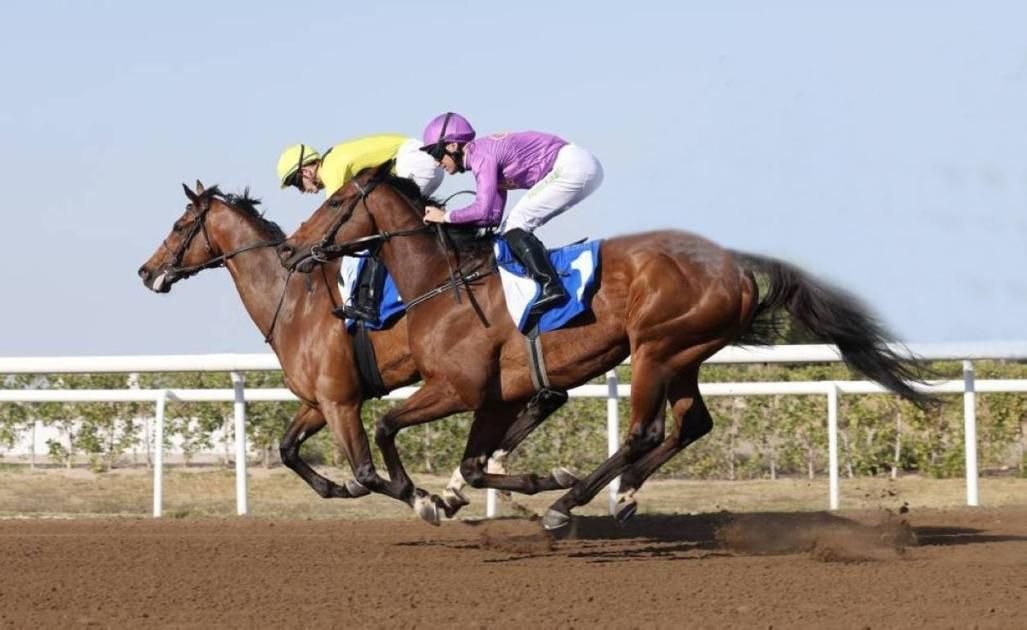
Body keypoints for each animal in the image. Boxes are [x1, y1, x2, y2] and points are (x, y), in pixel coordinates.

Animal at [276, 161, 934, 530]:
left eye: (336, 201)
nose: (290, 249)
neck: (441, 282)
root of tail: (732, 264)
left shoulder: (459, 389)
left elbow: (389, 429)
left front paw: (426, 499)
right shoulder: (497, 396)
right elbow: (475, 463)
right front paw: (487, 488)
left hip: (657, 349)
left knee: (644, 430)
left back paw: (570, 505)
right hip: (684, 355)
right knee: (690, 425)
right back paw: (618, 496)